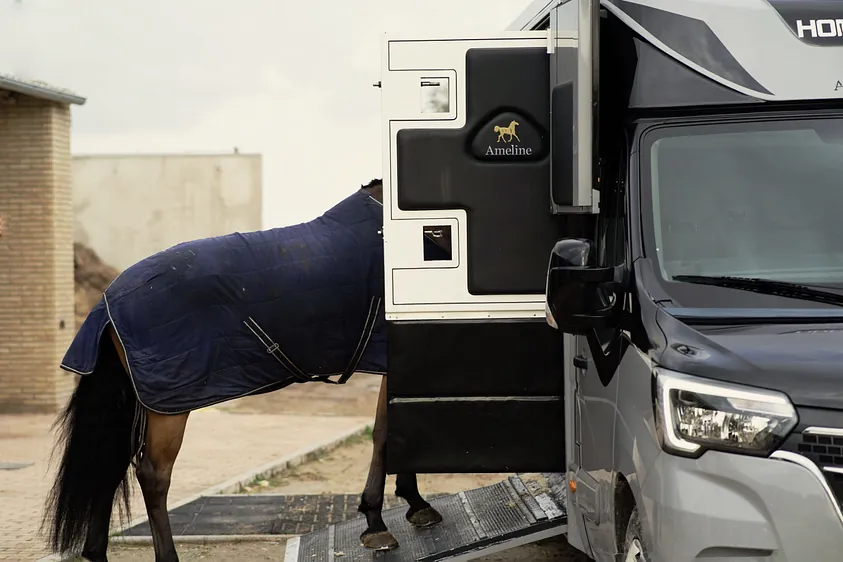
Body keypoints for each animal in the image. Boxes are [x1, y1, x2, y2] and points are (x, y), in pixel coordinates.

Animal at [42, 179, 446, 560]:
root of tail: (107, 304)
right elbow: (387, 435)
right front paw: (379, 523)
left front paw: (414, 506)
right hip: (169, 406)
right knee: (153, 475)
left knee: (110, 466)